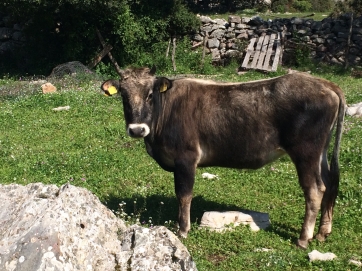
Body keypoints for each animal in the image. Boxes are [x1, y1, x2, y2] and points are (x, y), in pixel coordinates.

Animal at [101, 67, 346, 250]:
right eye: (123, 96)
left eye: (150, 94)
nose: (137, 129)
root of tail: (326, 84)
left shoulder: (186, 158)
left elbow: (184, 195)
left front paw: (183, 229)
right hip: (321, 153)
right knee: (330, 183)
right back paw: (323, 232)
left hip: (306, 152)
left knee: (315, 189)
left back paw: (304, 239)